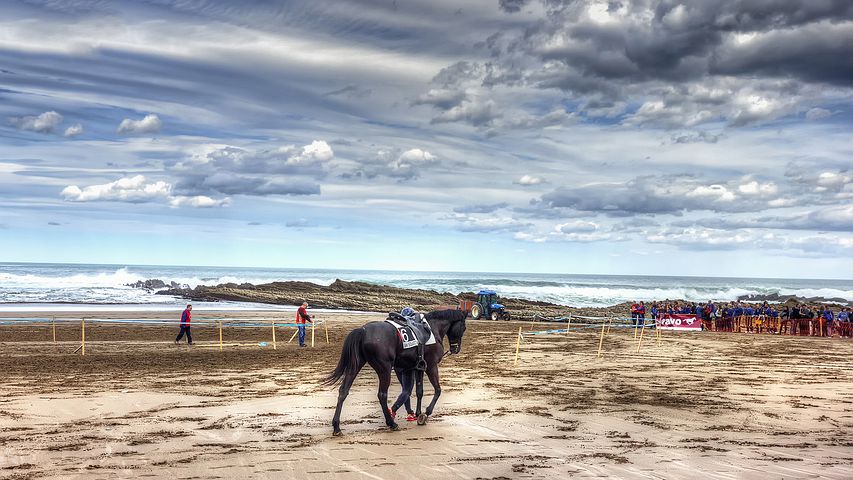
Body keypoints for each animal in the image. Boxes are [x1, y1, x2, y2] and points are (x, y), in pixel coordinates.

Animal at [322, 310, 466, 436]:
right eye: (463, 328)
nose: (456, 349)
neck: (432, 329)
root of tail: (363, 330)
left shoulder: (418, 368)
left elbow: (419, 391)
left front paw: (418, 413)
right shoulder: (431, 366)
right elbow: (438, 390)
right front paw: (426, 413)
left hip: (355, 366)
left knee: (343, 391)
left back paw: (336, 426)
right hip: (384, 369)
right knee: (382, 395)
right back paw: (391, 423)